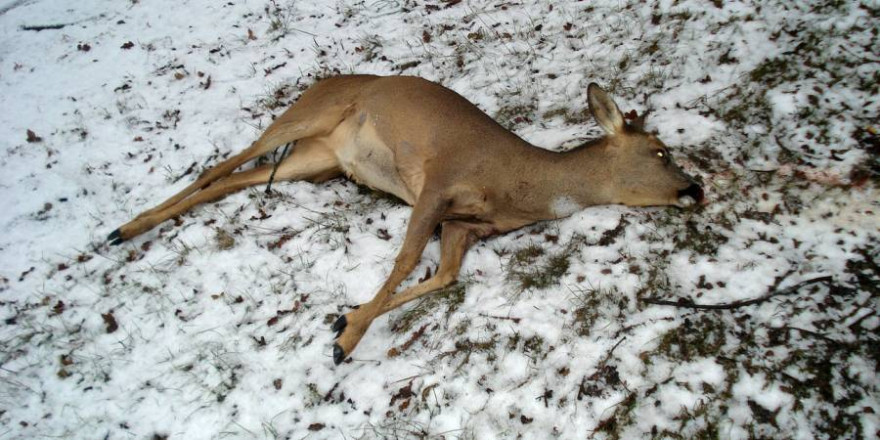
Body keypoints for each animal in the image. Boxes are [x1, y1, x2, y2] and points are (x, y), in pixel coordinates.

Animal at [108, 75, 700, 364]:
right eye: (660, 151)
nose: (695, 188)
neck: (522, 183)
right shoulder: (438, 182)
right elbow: (407, 257)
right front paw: (346, 341)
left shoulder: (465, 226)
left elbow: (444, 276)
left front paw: (344, 320)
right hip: (308, 115)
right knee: (224, 162)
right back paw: (124, 227)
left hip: (318, 161)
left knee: (235, 180)